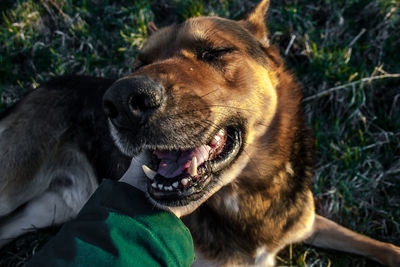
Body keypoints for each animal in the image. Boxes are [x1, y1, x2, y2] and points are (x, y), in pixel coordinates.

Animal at [0, 1, 400, 266]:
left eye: (215, 51)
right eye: (140, 62)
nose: (120, 102)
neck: (249, 195)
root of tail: (38, 87)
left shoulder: (309, 223)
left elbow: (381, 246)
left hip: (53, 207)